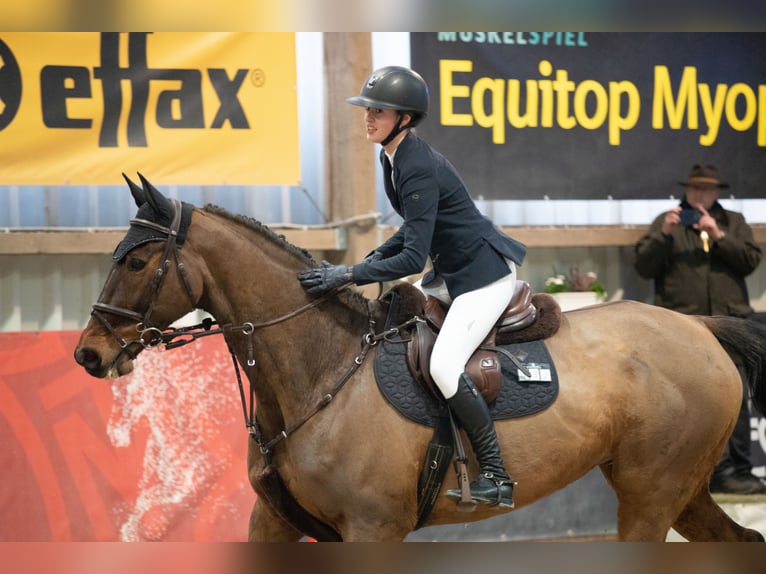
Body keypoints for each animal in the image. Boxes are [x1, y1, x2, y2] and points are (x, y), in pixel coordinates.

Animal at [73, 173, 766, 544]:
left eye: (137, 261)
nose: (87, 354)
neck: (320, 374)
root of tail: (699, 327)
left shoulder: (372, 529)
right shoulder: (272, 522)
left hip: (652, 492)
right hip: (678, 490)